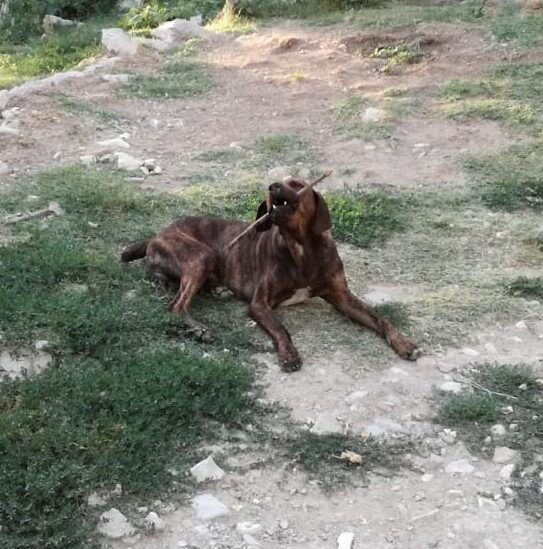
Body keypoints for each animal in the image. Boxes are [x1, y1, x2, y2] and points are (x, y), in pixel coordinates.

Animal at [121, 177, 421, 371]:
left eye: (297, 184)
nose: (272, 186)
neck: (301, 248)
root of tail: (156, 235)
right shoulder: (260, 304)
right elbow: (281, 328)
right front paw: (289, 355)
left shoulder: (342, 297)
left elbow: (381, 319)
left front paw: (405, 343)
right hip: (200, 256)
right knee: (176, 304)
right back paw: (199, 328)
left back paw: (216, 289)